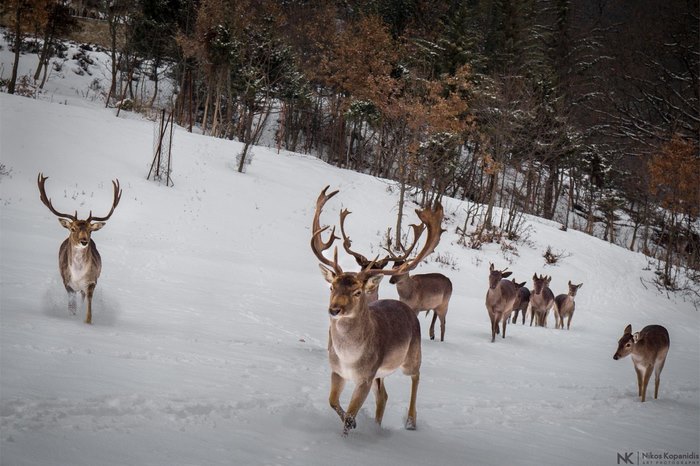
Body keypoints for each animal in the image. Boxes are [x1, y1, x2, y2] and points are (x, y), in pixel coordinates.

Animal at [37, 173, 121, 322]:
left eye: (90, 230)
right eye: (73, 228)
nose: (84, 241)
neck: (77, 276)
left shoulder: (91, 282)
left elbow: (88, 310)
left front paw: (87, 321)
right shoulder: (67, 283)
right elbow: (72, 307)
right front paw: (72, 318)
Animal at [312, 187, 442, 436]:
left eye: (357, 292)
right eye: (332, 287)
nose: (334, 309)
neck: (349, 357)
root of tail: (406, 307)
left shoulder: (366, 375)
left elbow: (349, 415)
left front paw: (349, 430)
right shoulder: (338, 371)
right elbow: (333, 402)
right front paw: (355, 423)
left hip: (412, 355)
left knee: (416, 375)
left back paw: (411, 421)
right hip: (380, 374)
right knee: (384, 395)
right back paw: (377, 426)